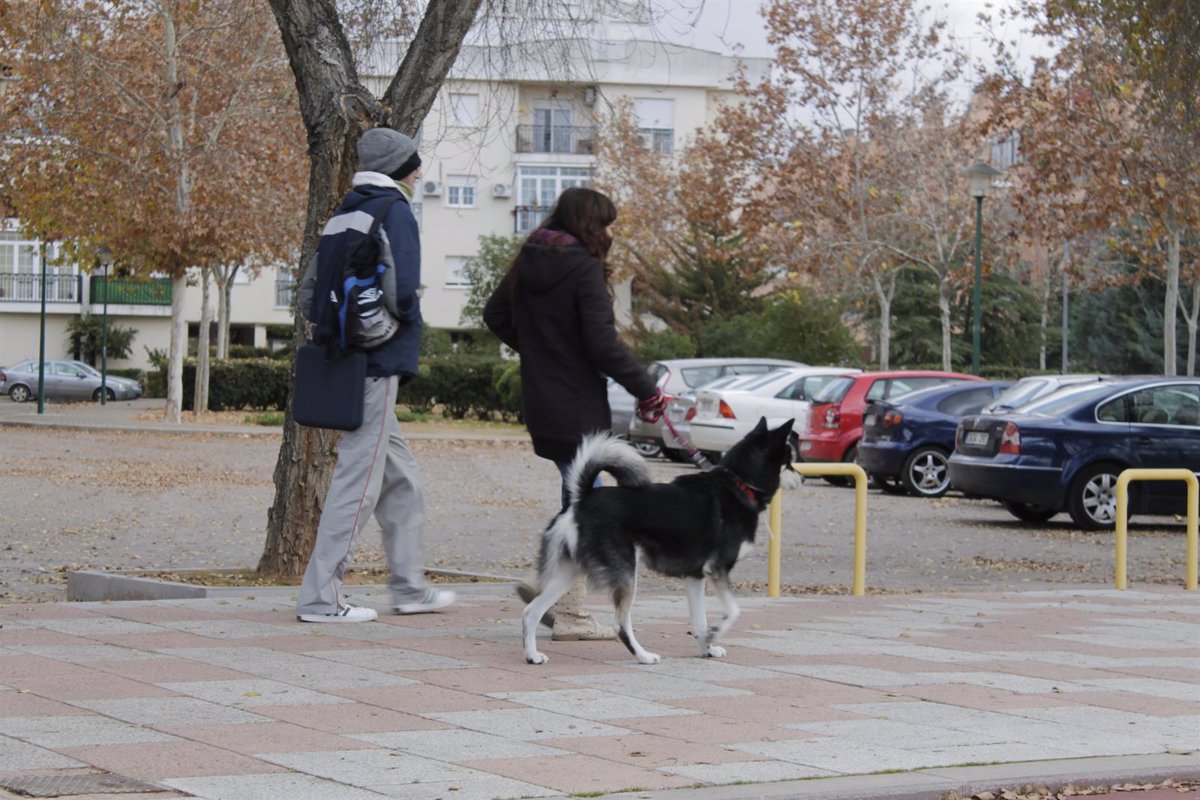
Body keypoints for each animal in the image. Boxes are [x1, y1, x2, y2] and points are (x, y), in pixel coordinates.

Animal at [520, 417, 792, 666]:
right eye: (789, 459)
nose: (799, 475)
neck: (738, 484)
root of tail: (582, 500)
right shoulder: (718, 570)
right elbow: (734, 611)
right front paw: (717, 633)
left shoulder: (696, 577)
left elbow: (700, 621)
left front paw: (707, 648)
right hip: (626, 573)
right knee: (621, 623)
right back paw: (643, 656)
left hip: (569, 572)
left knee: (532, 611)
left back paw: (532, 655)